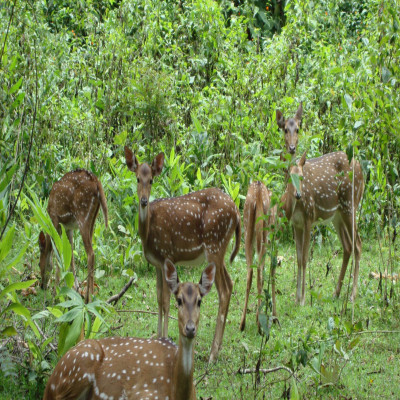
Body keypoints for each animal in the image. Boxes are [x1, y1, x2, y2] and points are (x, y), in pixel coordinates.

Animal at [38, 169, 108, 304]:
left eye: (39, 264)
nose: (42, 286)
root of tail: (97, 182)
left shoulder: (56, 221)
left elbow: (58, 255)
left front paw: (55, 293)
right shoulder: (68, 228)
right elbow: (71, 258)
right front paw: (74, 288)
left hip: (82, 215)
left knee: (91, 253)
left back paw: (88, 298)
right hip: (93, 219)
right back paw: (91, 295)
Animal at [43, 260, 216, 400]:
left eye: (199, 301)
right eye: (179, 300)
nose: (190, 328)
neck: (179, 393)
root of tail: (49, 385)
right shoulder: (143, 393)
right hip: (81, 361)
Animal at [123, 147, 239, 362]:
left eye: (151, 180)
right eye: (137, 178)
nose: (143, 201)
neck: (148, 232)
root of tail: (237, 211)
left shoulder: (167, 255)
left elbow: (166, 302)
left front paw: (165, 339)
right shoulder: (157, 264)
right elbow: (158, 299)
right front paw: (157, 336)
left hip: (215, 245)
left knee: (224, 290)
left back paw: (212, 354)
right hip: (220, 250)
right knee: (231, 282)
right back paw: (218, 348)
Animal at [280, 152, 364, 304]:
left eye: (302, 177)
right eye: (289, 176)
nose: (298, 195)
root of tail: (360, 167)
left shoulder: (309, 217)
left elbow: (305, 258)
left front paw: (303, 299)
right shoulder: (296, 224)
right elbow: (298, 259)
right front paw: (296, 298)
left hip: (350, 205)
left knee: (358, 245)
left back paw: (352, 296)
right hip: (337, 215)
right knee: (348, 246)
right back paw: (336, 293)